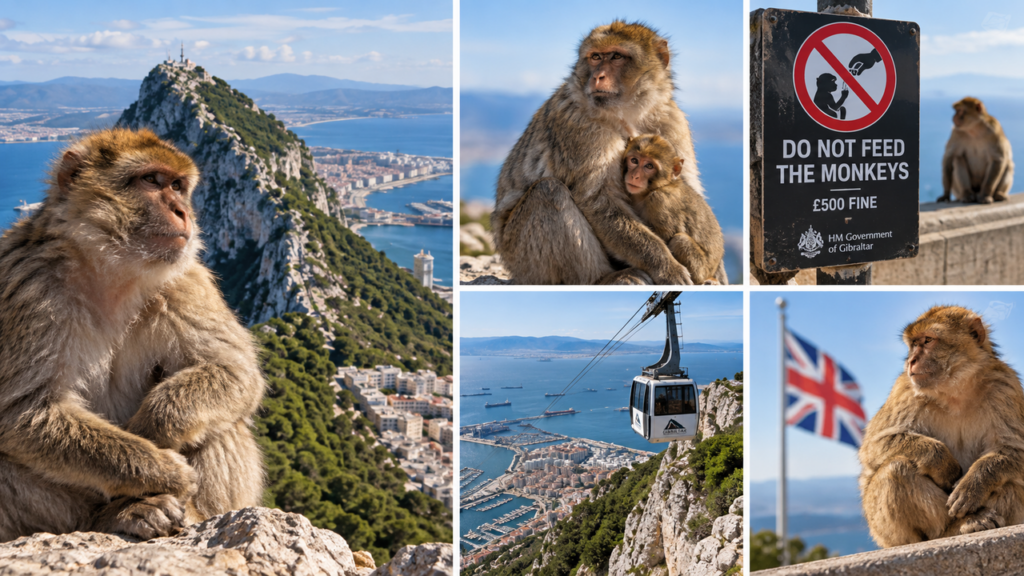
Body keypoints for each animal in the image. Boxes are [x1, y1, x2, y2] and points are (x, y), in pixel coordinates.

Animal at [0, 128, 265, 542]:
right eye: (152, 180)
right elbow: (25, 411)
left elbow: (234, 369)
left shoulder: (185, 281)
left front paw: (154, 426)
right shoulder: (26, 283)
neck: (113, 273)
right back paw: (116, 515)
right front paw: (164, 470)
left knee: (223, 421)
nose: (182, 211)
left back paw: (192, 510)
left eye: (178, 185)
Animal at [621, 134, 726, 285]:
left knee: (680, 241)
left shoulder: (660, 201)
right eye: (634, 160)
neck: (653, 189)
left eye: (649, 166)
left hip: (701, 269)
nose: (635, 176)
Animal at [858, 305, 1024, 548]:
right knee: (896, 469)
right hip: (885, 532)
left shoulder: (1005, 386)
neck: (955, 390)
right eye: (913, 344)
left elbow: (1014, 448)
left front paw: (974, 485)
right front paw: (943, 463)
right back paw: (960, 526)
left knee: (1010, 480)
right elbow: (875, 444)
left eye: (927, 341)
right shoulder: (905, 389)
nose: (911, 361)